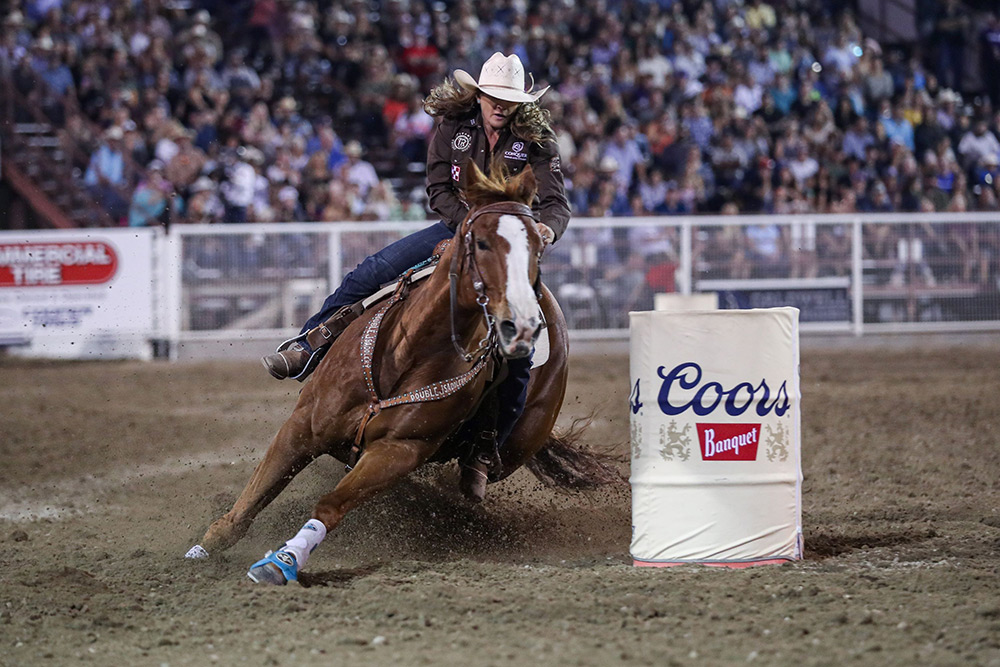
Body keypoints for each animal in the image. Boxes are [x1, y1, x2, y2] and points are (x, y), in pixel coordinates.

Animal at [184, 163, 612, 584]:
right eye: (482, 243)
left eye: (537, 247)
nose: (522, 324)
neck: (408, 350)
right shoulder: (303, 426)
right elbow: (255, 494)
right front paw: (204, 548)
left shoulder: (399, 451)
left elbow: (331, 504)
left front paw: (283, 560)